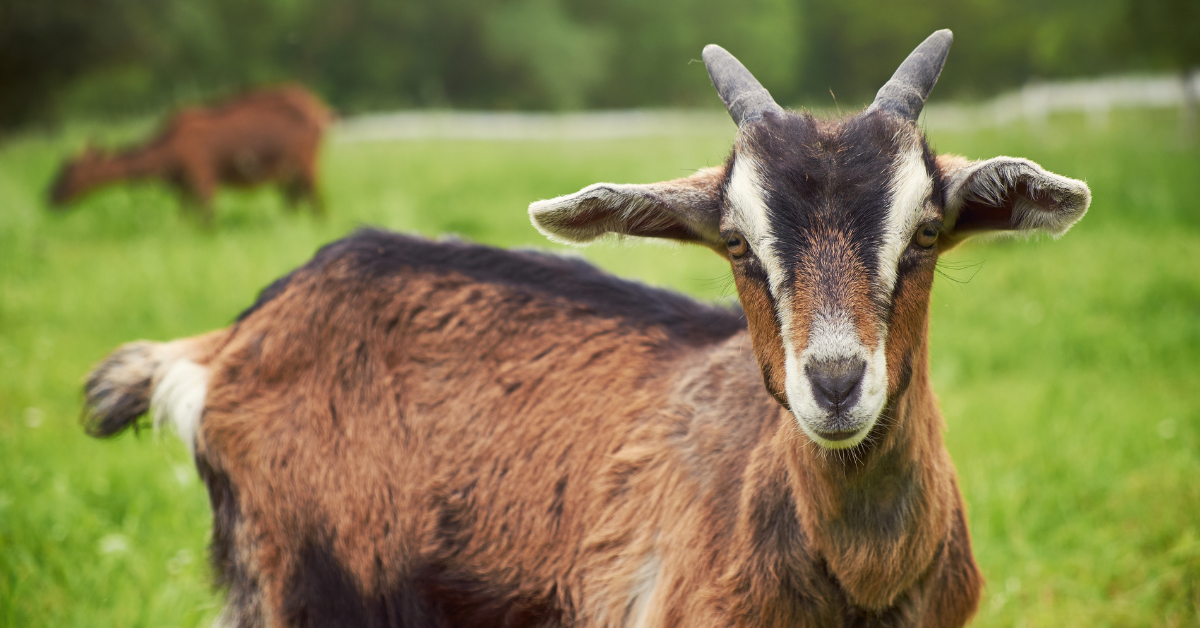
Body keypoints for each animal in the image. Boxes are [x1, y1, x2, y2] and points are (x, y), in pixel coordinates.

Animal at [49, 84, 332, 220]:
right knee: (294, 200)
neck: (166, 154)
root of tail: (320, 110)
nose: (49, 196)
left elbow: (207, 219)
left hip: (307, 163)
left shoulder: (202, 177)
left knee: (316, 202)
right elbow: (184, 220)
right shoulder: (183, 187)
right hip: (289, 171)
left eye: (70, 169)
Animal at [82, 30, 1090, 627]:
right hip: (304, 588)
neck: (859, 581)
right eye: (736, 242)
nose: (836, 384)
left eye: (925, 232)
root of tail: (230, 342)